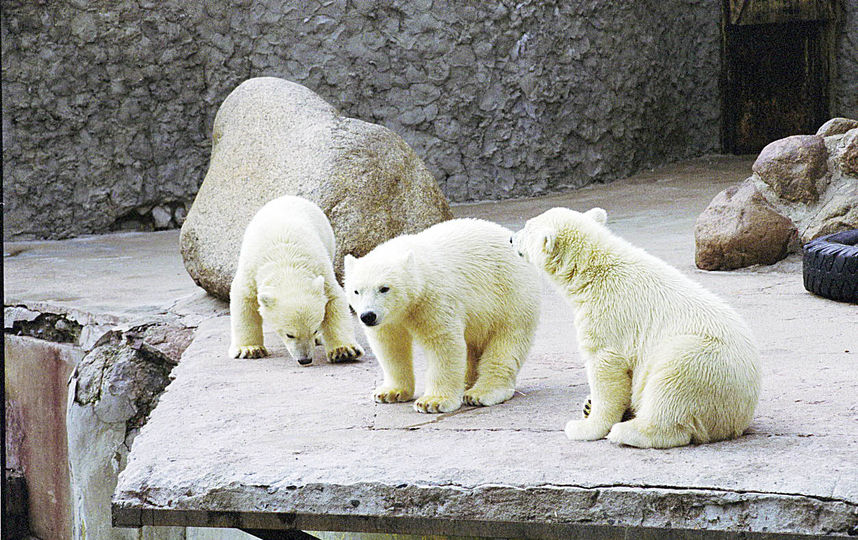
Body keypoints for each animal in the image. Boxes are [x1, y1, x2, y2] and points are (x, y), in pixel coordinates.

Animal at [227, 196, 362, 364]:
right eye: (289, 334)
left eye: (314, 329)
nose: (305, 359)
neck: (285, 261)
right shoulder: (251, 270)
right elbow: (244, 300)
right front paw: (249, 349)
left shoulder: (320, 268)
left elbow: (334, 299)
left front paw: (343, 351)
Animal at [342, 219, 536, 414]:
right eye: (356, 291)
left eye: (384, 288)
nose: (367, 316)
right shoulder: (389, 319)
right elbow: (390, 345)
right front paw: (389, 392)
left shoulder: (433, 299)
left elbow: (442, 344)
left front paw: (431, 402)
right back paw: (467, 384)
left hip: (510, 295)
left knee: (506, 343)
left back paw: (481, 393)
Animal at [512, 207, 760, 448]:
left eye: (527, 226)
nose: (511, 238)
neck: (593, 272)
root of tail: (739, 418)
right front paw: (590, 409)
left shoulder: (608, 314)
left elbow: (605, 366)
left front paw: (585, 428)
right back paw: (591, 407)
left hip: (703, 361)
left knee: (671, 385)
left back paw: (627, 431)